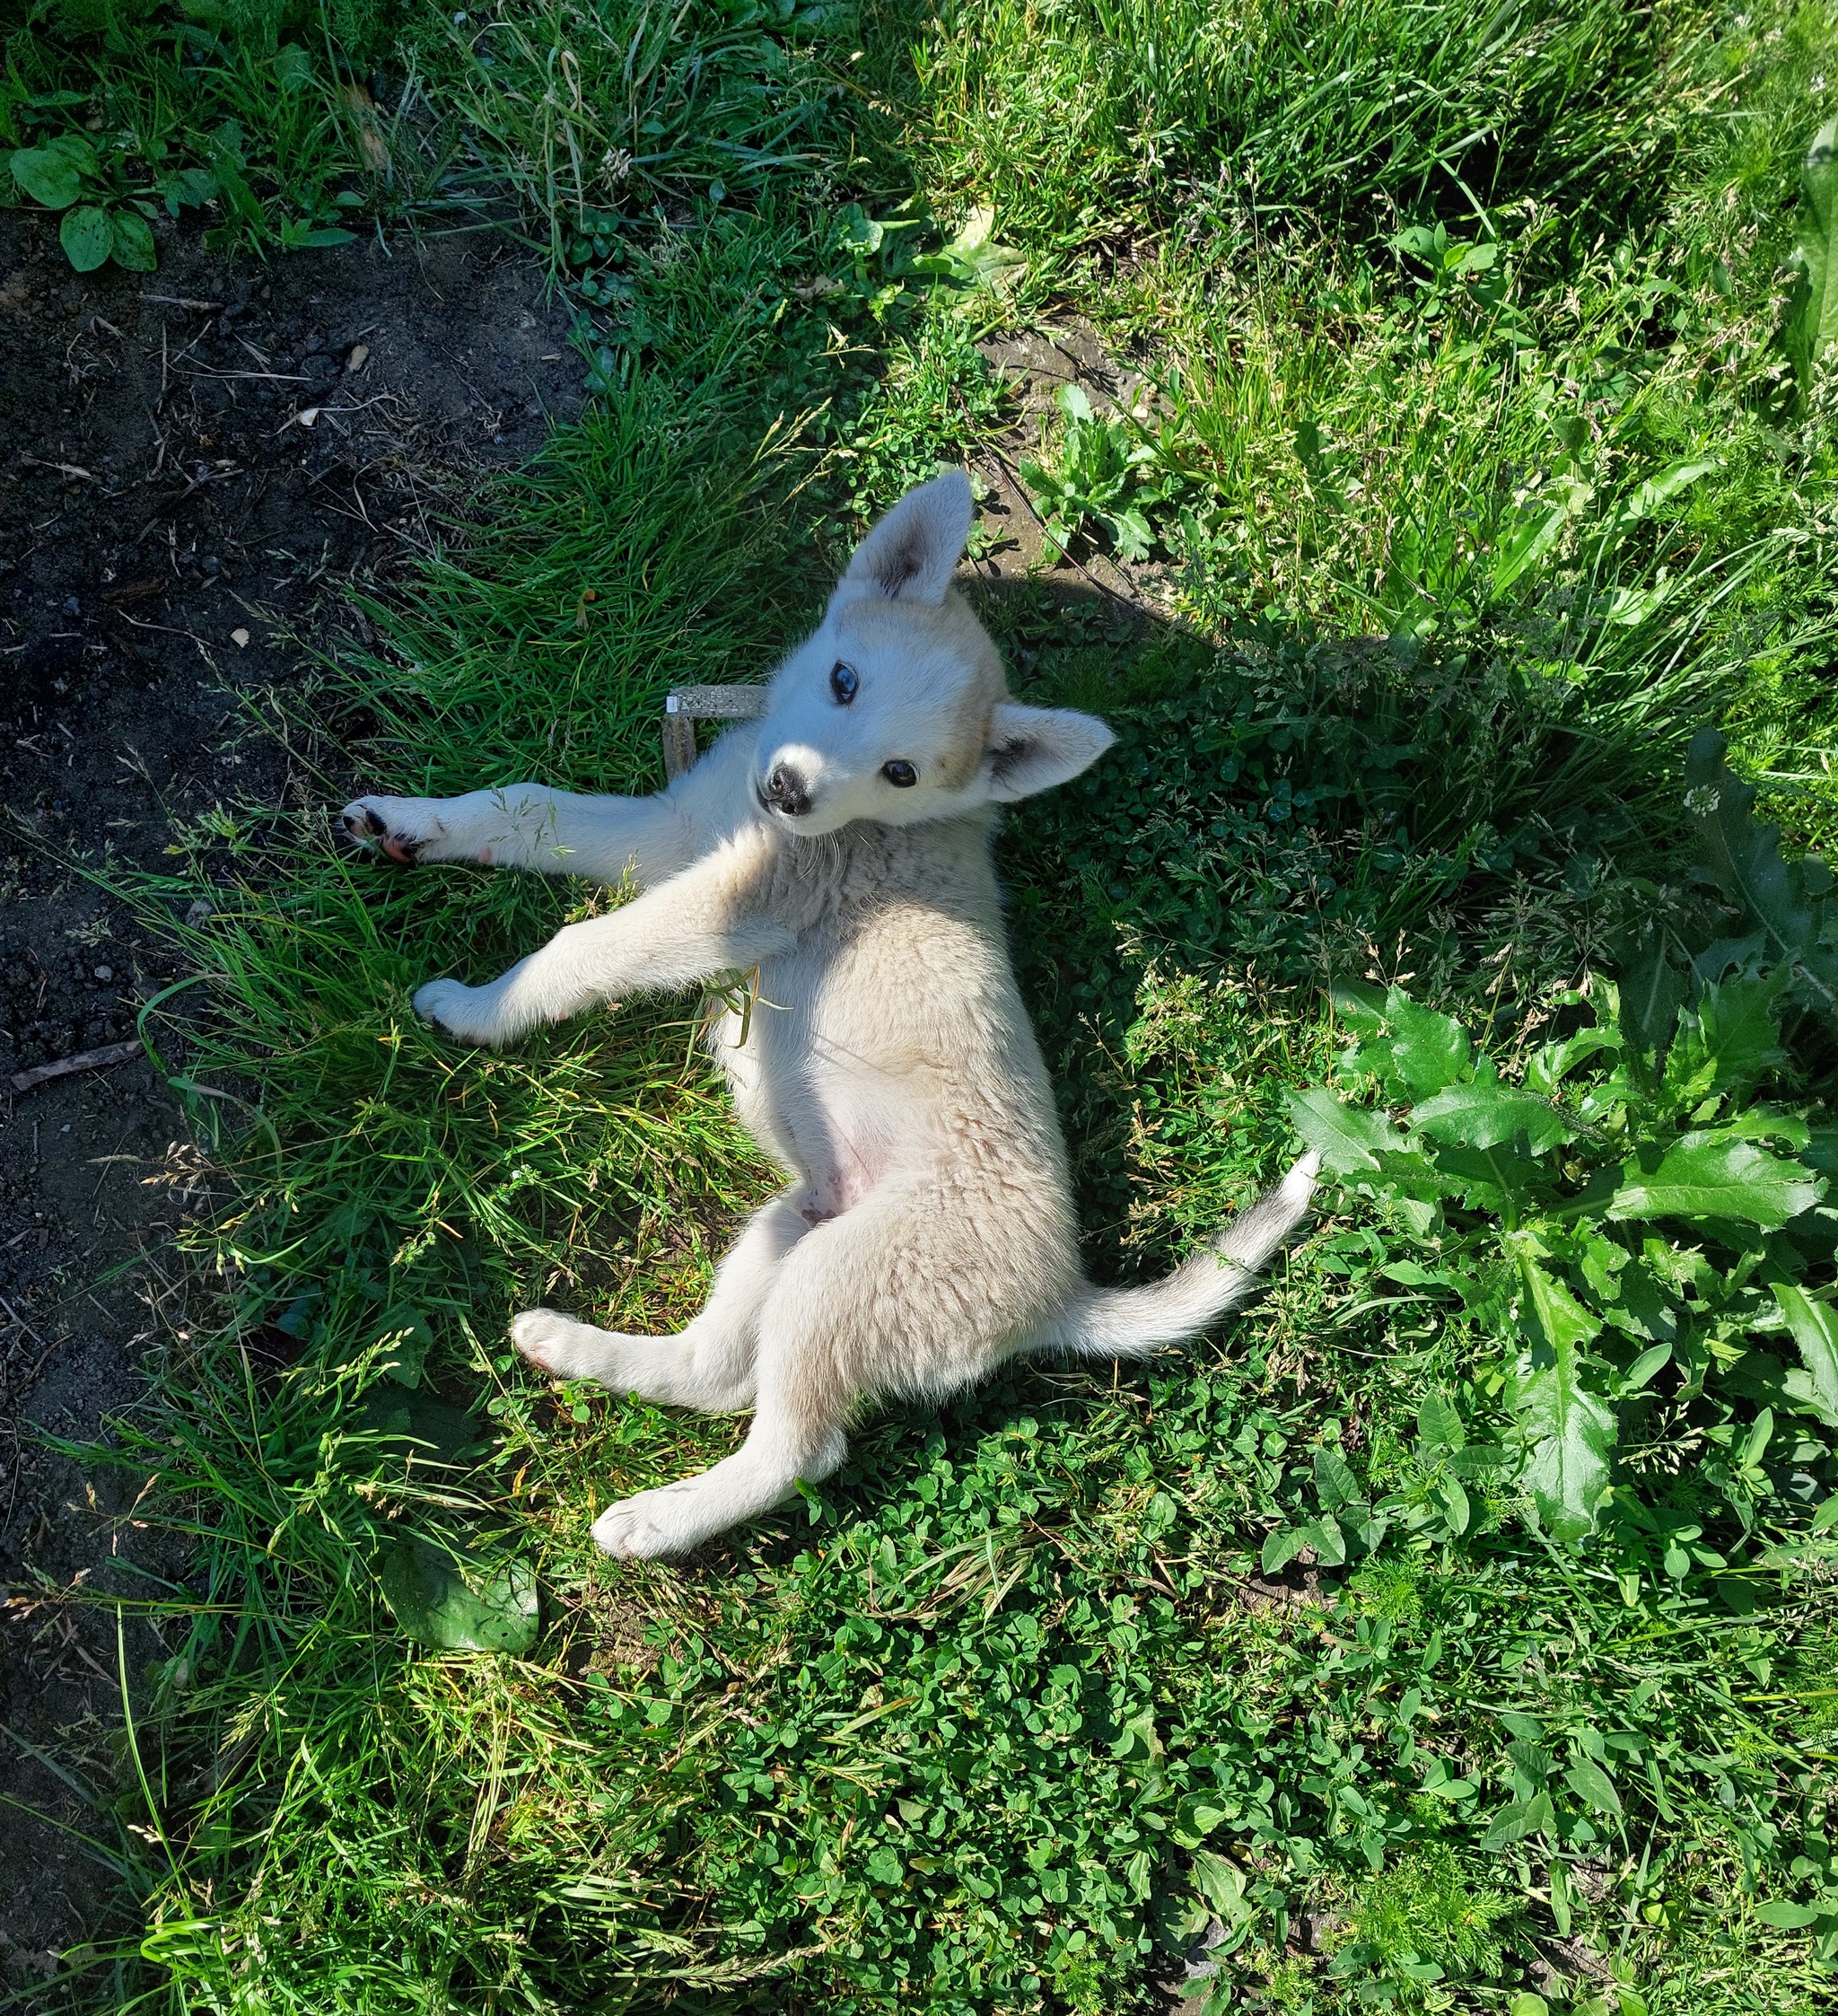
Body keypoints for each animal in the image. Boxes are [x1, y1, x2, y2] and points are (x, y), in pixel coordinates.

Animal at [340, 468, 1322, 1556]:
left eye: (901, 772)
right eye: (844, 681)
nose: (788, 787)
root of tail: (1061, 1294)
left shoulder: (729, 902)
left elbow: (581, 948)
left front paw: (481, 1007)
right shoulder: (672, 833)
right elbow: (525, 807)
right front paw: (407, 820)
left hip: (840, 1281)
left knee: (798, 1452)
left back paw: (656, 1519)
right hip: (789, 1228)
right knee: (714, 1374)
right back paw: (574, 1349)